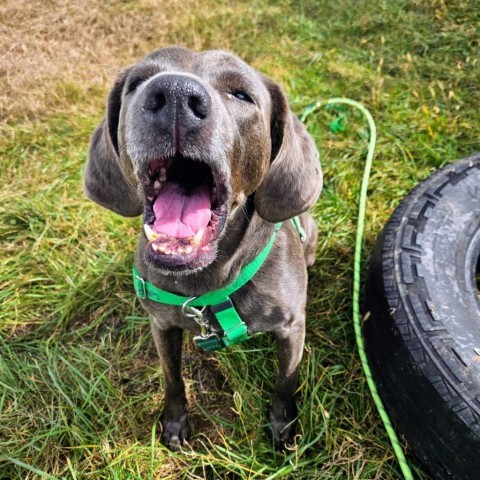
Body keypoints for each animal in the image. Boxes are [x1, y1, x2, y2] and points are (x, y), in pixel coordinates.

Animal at [84, 47, 320, 452]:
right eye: (137, 82)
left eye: (241, 94)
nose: (175, 94)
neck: (207, 283)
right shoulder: (162, 324)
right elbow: (172, 378)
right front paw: (175, 422)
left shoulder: (292, 328)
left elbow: (284, 384)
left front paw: (283, 427)